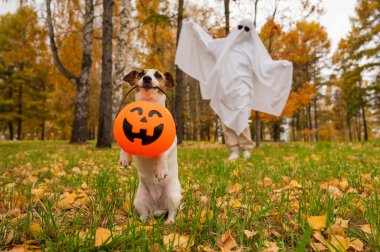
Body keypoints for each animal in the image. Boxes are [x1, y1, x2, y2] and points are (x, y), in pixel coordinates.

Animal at [119, 68, 182, 223]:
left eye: (158, 75)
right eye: (141, 74)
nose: (147, 78)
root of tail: (157, 207)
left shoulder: (171, 143)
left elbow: (162, 155)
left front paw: (160, 169)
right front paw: (125, 158)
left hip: (173, 196)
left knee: (172, 212)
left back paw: (169, 221)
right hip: (139, 199)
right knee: (144, 213)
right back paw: (140, 221)